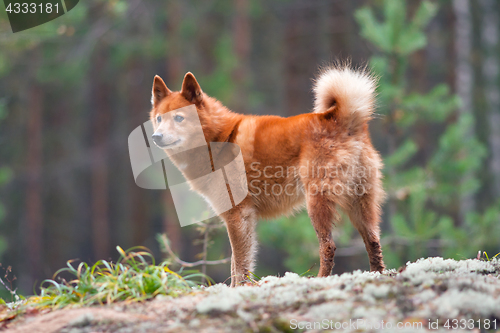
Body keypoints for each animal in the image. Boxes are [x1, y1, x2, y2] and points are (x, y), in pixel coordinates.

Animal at [150, 65, 384, 286]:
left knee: (329, 246)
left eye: (179, 118)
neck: (218, 139)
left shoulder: (238, 215)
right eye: (159, 119)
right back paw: (377, 275)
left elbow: (239, 263)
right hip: (360, 204)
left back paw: (320, 278)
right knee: (373, 241)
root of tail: (340, 118)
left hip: (317, 203)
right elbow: (237, 262)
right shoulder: (243, 218)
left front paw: (238, 288)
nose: (156, 136)